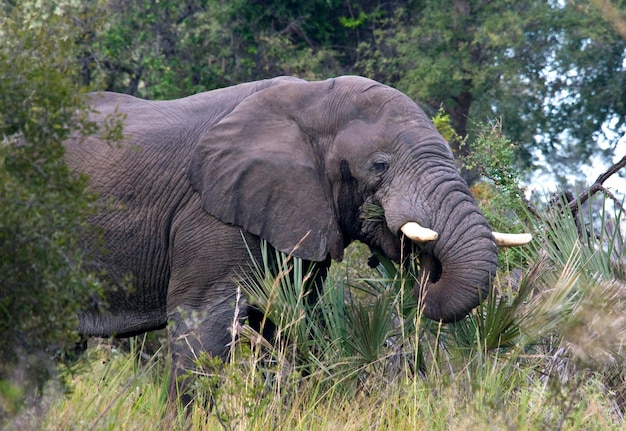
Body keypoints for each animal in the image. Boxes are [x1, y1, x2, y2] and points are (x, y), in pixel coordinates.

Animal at [63, 76, 528, 404]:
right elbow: (201, 330)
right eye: (379, 165)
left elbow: (297, 323)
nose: (420, 264)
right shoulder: (211, 212)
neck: (313, 98)